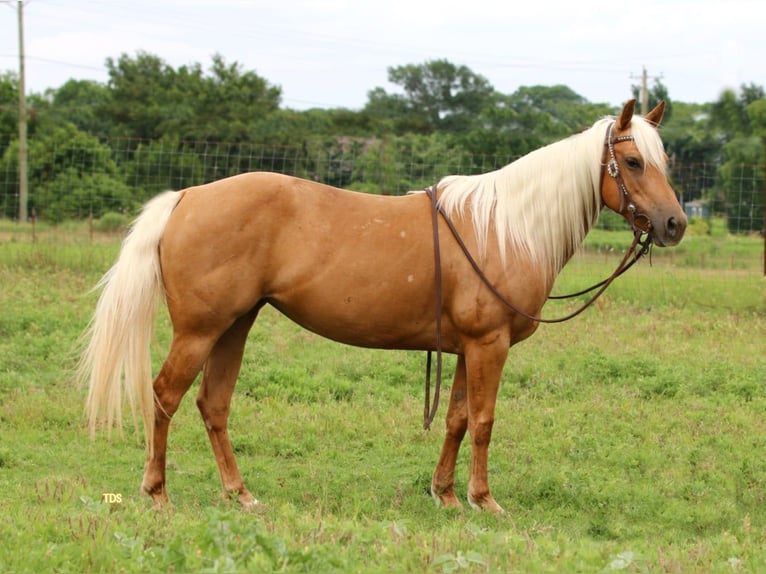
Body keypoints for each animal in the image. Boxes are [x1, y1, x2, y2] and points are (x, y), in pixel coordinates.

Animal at [79, 99, 686, 513]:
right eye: (633, 161)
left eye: (665, 160)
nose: (675, 224)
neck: (507, 227)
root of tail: (187, 196)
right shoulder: (489, 345)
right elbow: (484, 420)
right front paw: (484, 500)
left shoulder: (467, 348)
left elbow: (457, 418)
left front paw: (445, 495)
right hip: (200, 331)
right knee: (165, 397)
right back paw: (157, 493)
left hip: (235, 326)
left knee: (213, 404)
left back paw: (240, 494)